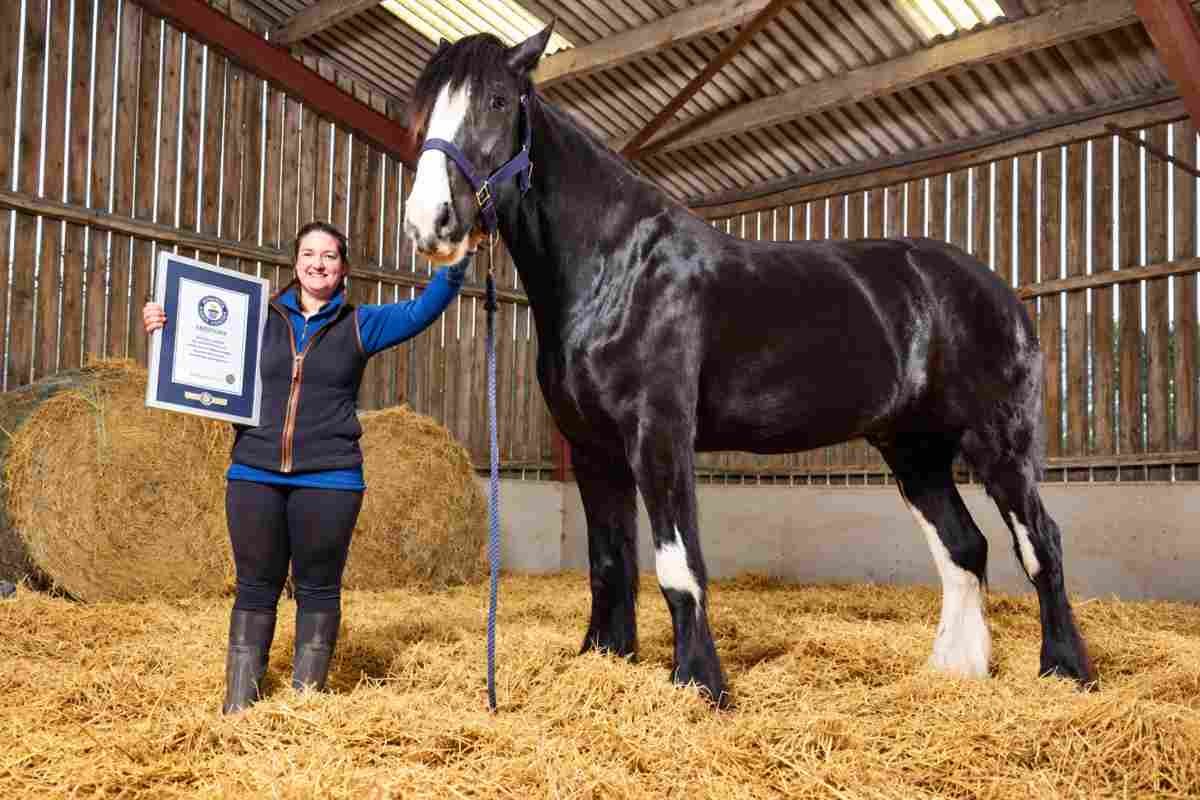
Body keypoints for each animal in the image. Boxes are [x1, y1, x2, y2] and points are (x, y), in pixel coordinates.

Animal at [402, 25, 1094, 706]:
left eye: (497, 99)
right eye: (425, 110)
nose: (430, 222)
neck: (618, 267)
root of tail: (999, 292)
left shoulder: (659, 435)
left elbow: (678, 566)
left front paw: (701, 685)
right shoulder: (593, 448)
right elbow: (609, 564)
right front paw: (606, 660)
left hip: (998, 444)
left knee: (1041, 543)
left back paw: (1065, 671)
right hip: (914, 451)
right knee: (964, 547)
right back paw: (955, 671)